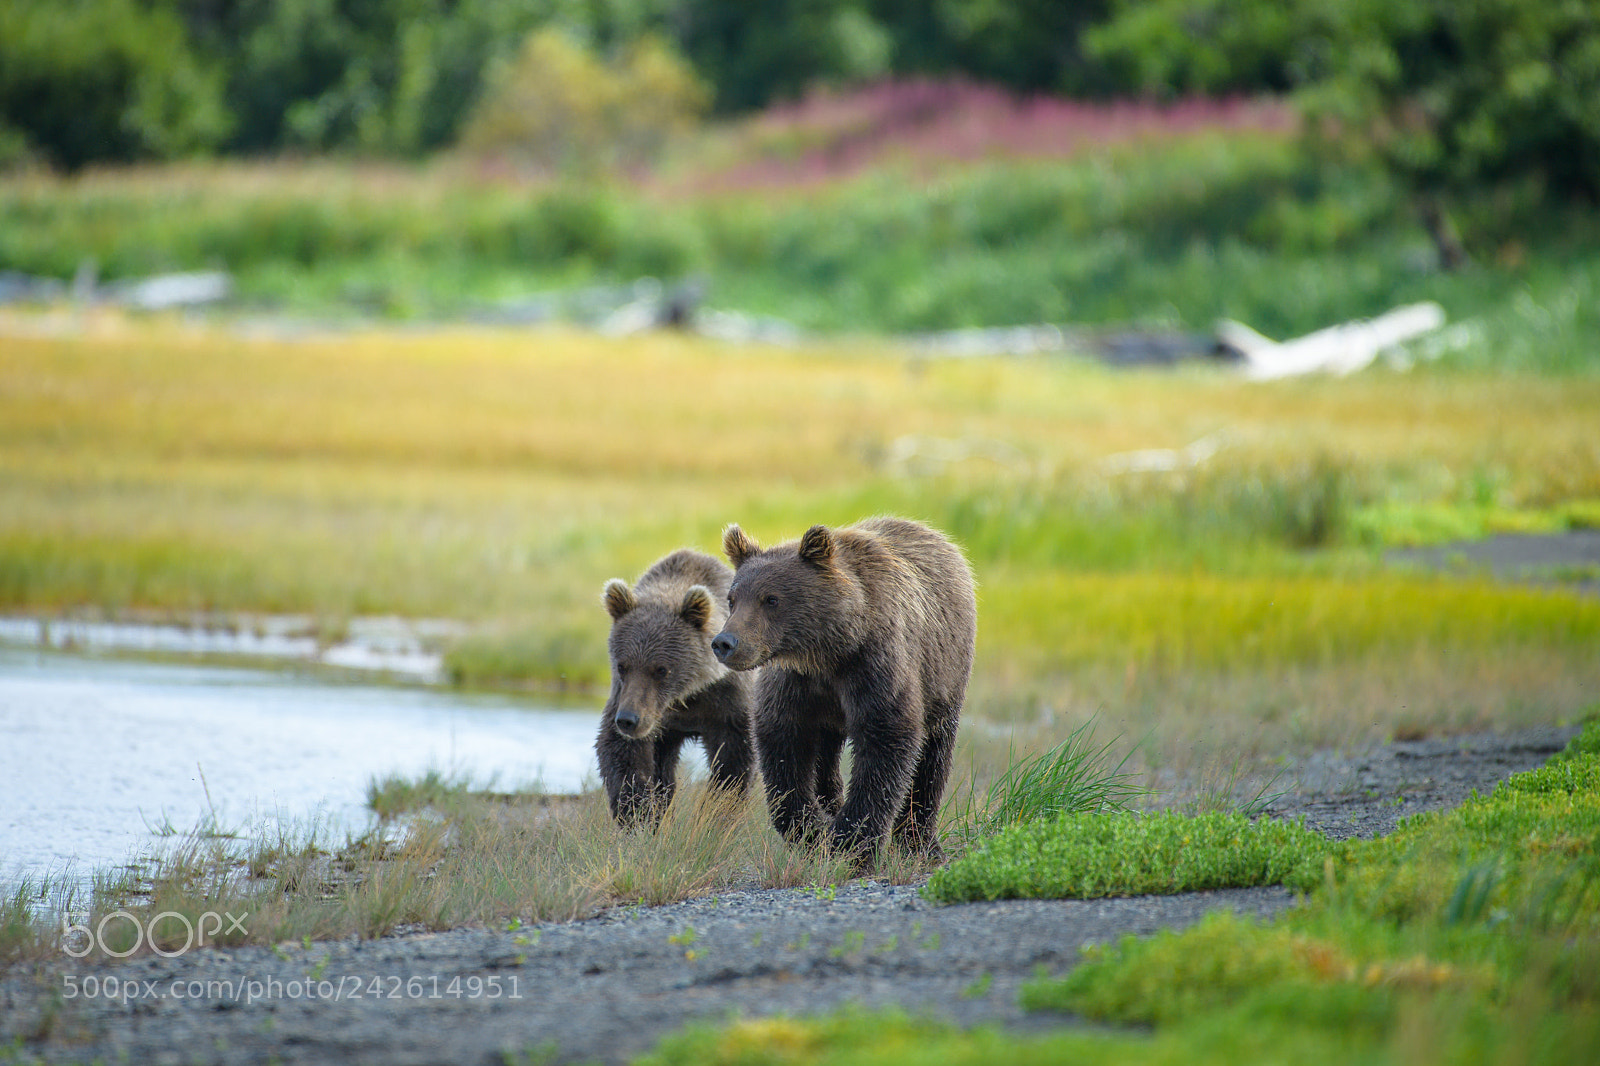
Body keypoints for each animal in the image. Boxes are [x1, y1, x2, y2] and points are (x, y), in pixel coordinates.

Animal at [596, 548, 756, 828]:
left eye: (661, 669)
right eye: (622, 666)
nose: (628, 720)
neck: (686, 695)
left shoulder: (727, 700)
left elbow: (734, 761)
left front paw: (716, 815)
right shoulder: (631, 701)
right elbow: (623, 755)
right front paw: (639, 815)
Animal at [710, 516, 976, 864]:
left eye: (771, 599)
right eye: (732, 598)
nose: (725, 642)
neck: (827, 652)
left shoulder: (873, 666)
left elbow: (885, 742)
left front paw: (851, 840)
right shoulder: (795, 683)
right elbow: (783, 748)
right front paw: (812, 829)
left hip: (945, 674)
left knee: (934, 755)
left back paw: (921, 843)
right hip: (829, 716)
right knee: (825, 755)